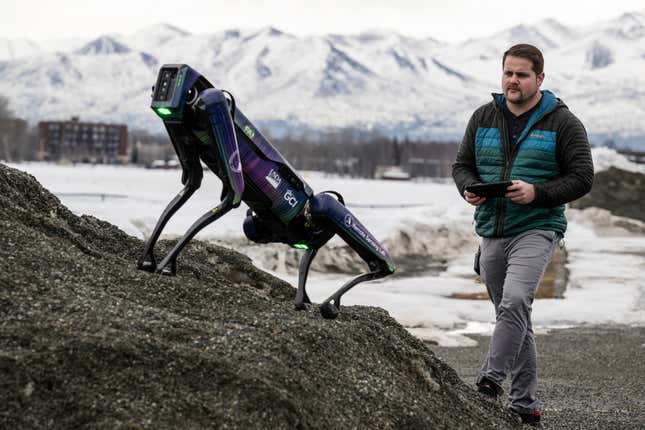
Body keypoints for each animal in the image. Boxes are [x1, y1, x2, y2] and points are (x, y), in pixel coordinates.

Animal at [138, 64, 394, 320]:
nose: (165, 96)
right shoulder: (187, 126)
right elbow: (193, 185)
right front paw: (150, 263)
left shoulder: (213, 104)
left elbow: (232, 195)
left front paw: (162, 265)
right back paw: (309, 302)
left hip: (319, 212)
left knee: (377, 259)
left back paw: (325, 303)